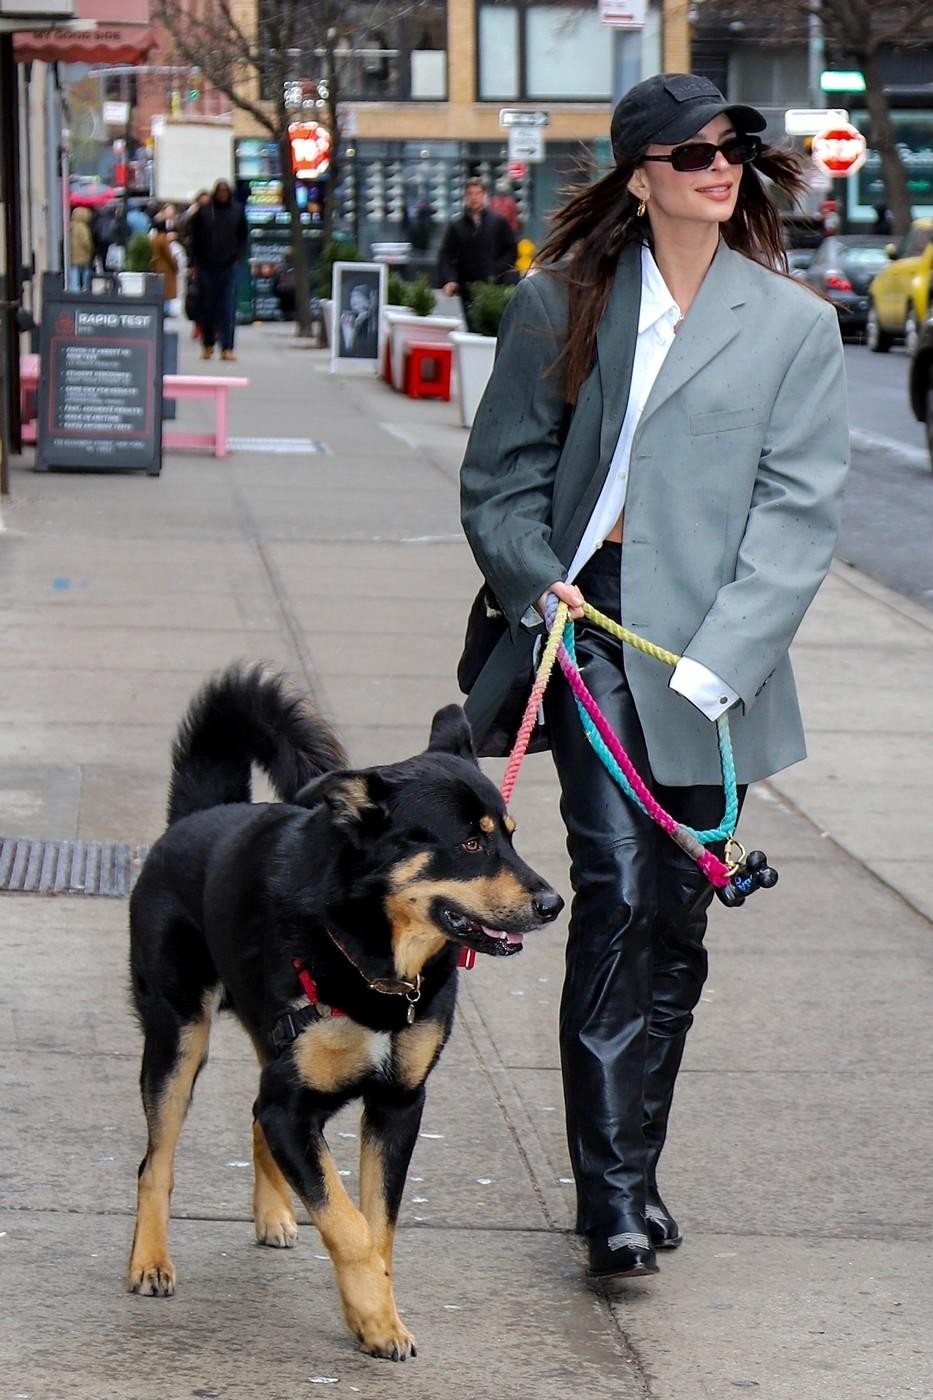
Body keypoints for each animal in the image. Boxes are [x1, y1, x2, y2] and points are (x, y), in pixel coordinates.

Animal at [126, 666, 554, 1355]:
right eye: (469, 843)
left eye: (510, 837)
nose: (553, 904)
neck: (378, 960)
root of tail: (199, 814)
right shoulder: (294, 1107)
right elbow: (348, 1223)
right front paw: (376, 1317)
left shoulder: (397, 1105)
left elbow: (378, 1228)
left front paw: (373, 1312)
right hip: (178, 1035)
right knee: (155, 1161)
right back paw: (150, 1261)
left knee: (251, 1117)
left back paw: (274, 1212)